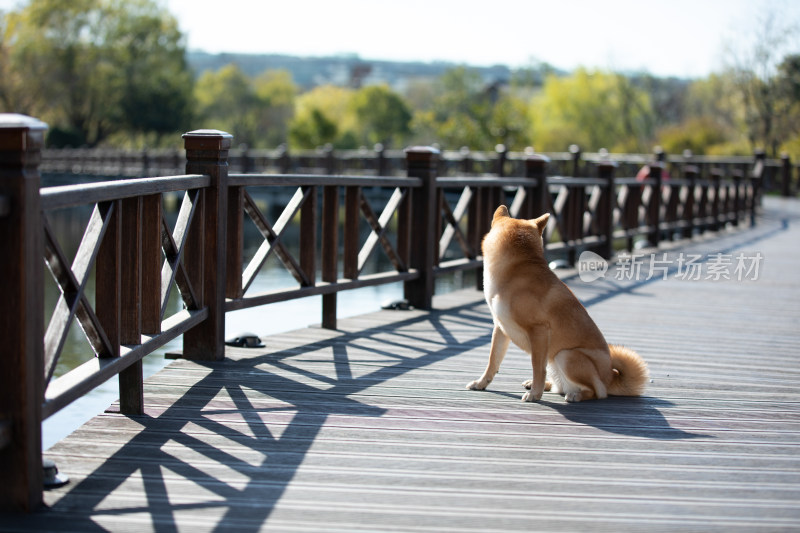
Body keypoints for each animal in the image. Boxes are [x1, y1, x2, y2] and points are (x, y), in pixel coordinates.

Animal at [466, 206, 648, 402]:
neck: (516, 271)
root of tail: (610, 377)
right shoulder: (500, 328)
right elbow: (493, 361)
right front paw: (481, 383)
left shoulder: (539, 331)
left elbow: (537, 367)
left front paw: (534, 394)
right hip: (554, 360)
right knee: (557, 386)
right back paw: (541, 385)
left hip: (565, 355)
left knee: (595, 392)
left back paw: (574, 395)